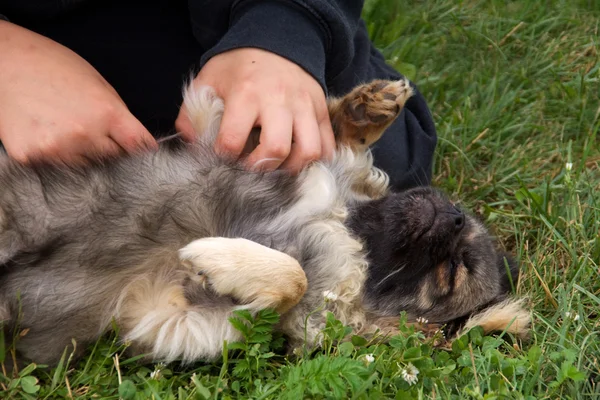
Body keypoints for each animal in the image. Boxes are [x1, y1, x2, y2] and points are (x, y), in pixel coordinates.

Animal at [0, 78, 528, 366]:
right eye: (462, 231)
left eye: (451, 274)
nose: (455, 217)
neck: (341, 226)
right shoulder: (248, 146)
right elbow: (332, 140)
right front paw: (370, 107)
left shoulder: (166, 311)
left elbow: (291, 279)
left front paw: (218, 258)